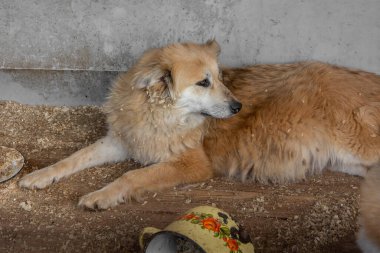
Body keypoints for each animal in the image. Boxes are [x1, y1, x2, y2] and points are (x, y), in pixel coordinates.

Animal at [18, 41, 380, 211]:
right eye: (204, 82)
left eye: (220, 78)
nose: (238, 107)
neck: (158, 113)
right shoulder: (122, 141)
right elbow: (74, 157)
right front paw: (40, 175)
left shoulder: (192, 164)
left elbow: (132, 175)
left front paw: (101, 195)